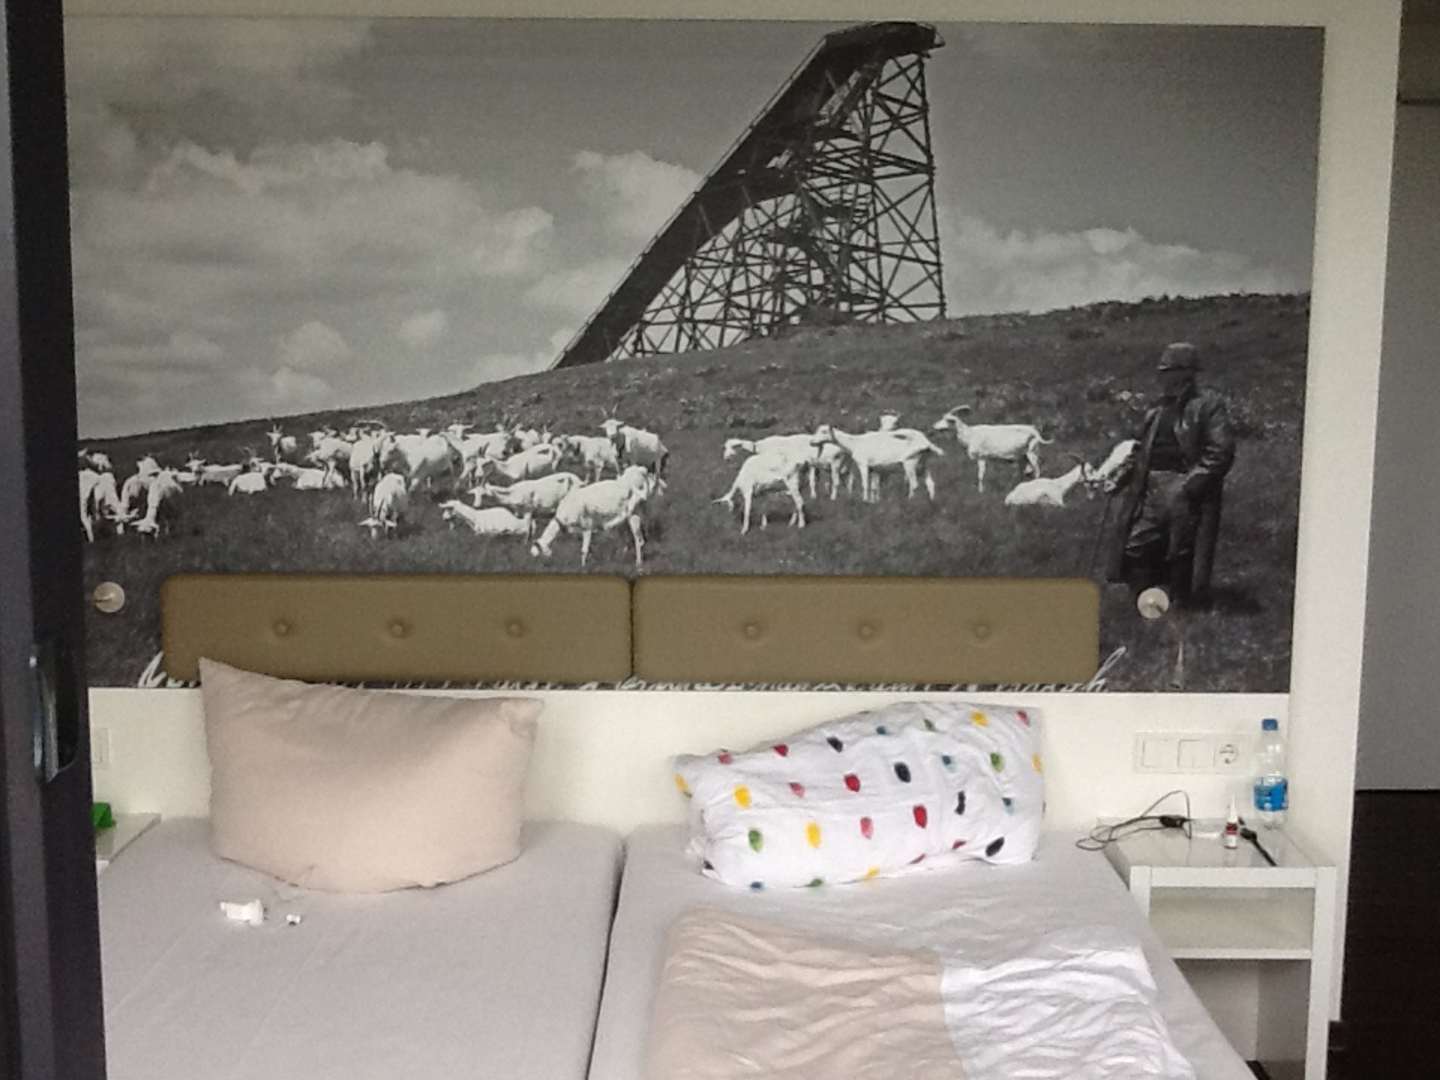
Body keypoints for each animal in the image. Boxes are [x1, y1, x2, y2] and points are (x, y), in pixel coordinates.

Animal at [530, 465, 664, 569]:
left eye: (538, 554)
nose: (538, 566)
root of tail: (640, 471)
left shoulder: (587, 526)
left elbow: (584, 550)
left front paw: (583, 567)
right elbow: (588, 549)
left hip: (633, 514)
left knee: (638, 539)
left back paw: (638, 563)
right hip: (631, 514)